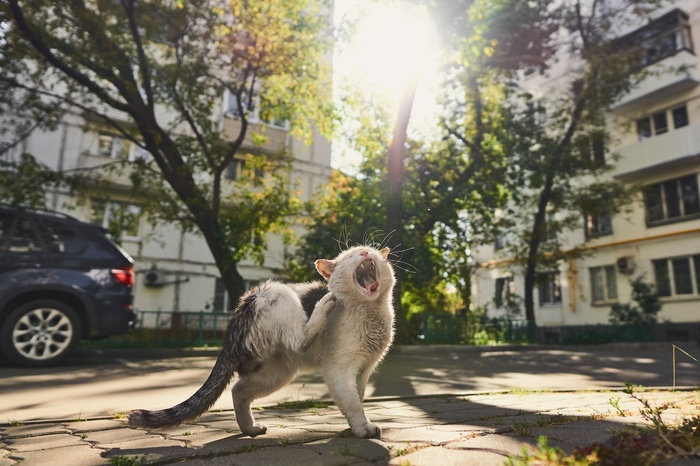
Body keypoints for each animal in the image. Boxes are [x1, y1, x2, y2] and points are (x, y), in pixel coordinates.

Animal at [127, 246, 394, 438]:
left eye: (369, 249)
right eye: (351, 255)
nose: (364, 253)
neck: (370, 313)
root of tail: (237, 315)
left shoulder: (363, 371)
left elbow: (357, 397)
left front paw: (353, 425)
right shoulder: (339, 370)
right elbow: (352, 402)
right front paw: (362, 428)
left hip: (275, 373)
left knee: (238, 390)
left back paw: (250, 429)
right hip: (278, 292)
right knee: (300, 340)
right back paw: (324, 304)